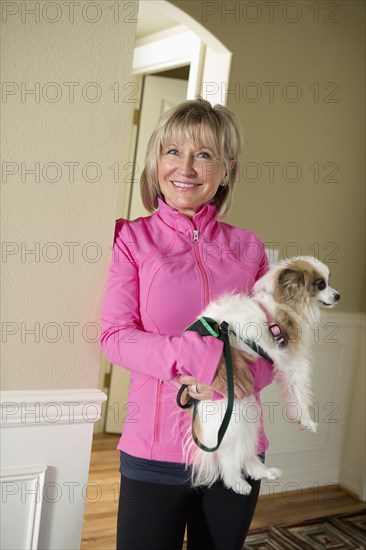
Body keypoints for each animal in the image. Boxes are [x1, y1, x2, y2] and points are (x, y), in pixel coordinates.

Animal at [186, 258, 340, 496]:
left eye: (329, 281)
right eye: (321, 285)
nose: (338, 296)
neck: (282, 305)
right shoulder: (293, 360)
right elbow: (300, 391)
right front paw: (306, 420)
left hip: (248, 415)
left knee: (245, 451)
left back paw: (262, 472)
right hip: (238, 416)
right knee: (228, 458)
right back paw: (237, 483)